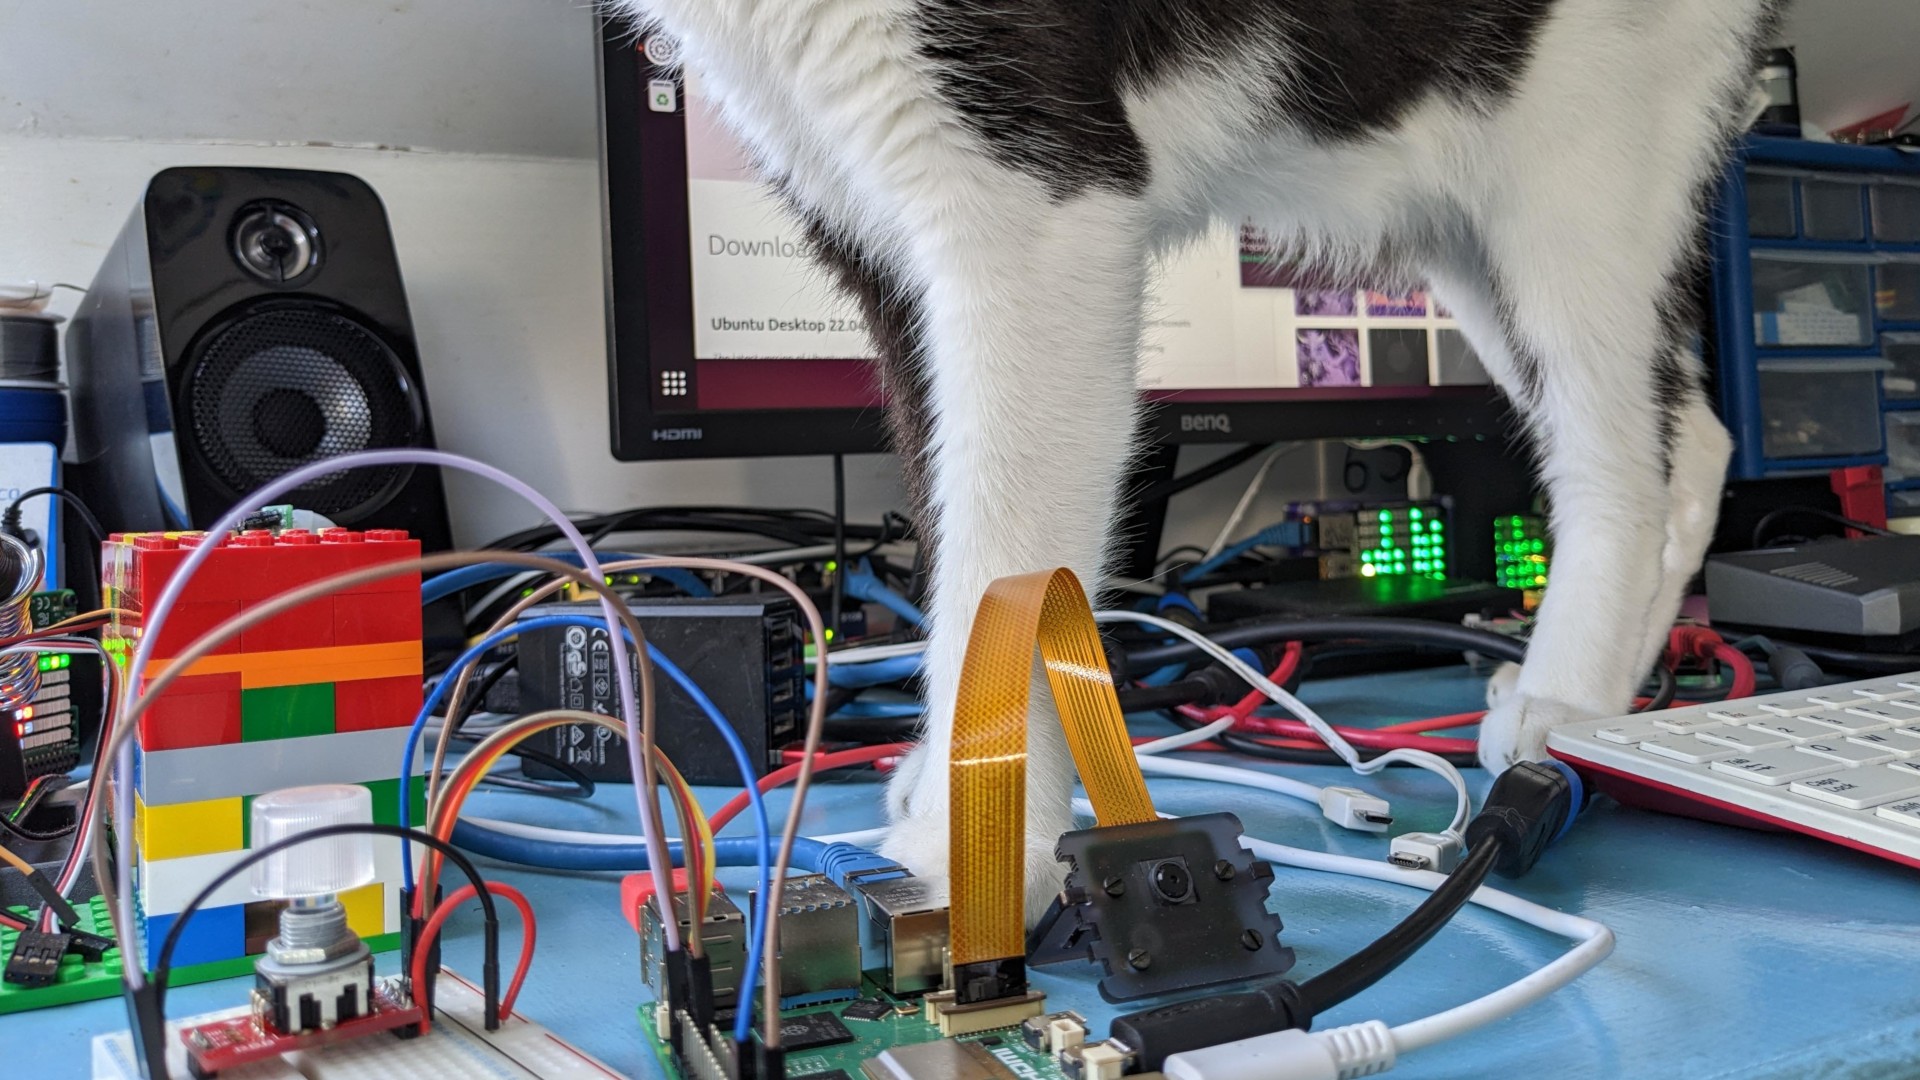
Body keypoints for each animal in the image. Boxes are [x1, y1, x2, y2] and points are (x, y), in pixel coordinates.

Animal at [610, 0, 1781, 907]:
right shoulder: (858, 213)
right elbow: (946, 514)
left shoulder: (1034, 201)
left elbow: (1000, 557)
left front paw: (980, 848)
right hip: (1462, 212)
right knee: (1692, 440)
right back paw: (1601, 695)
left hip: (1578, 161)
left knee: (1619, 452)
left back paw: (1566, 702)